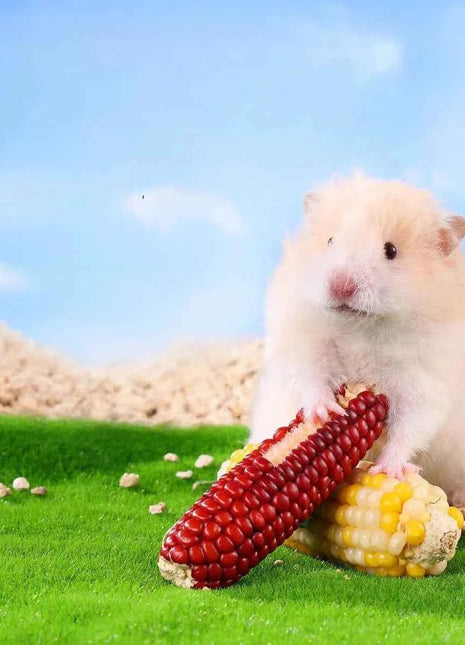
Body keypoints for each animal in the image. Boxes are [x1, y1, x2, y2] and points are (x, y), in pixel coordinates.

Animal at [250, 174, 465, 510]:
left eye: (391, 250)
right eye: (330, 241)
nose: (341, 286)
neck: (362, 329)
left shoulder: (426, 384)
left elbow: (409, 427)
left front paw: (387, 471)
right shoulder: (302, 341)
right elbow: (310, 375)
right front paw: (325, 413)